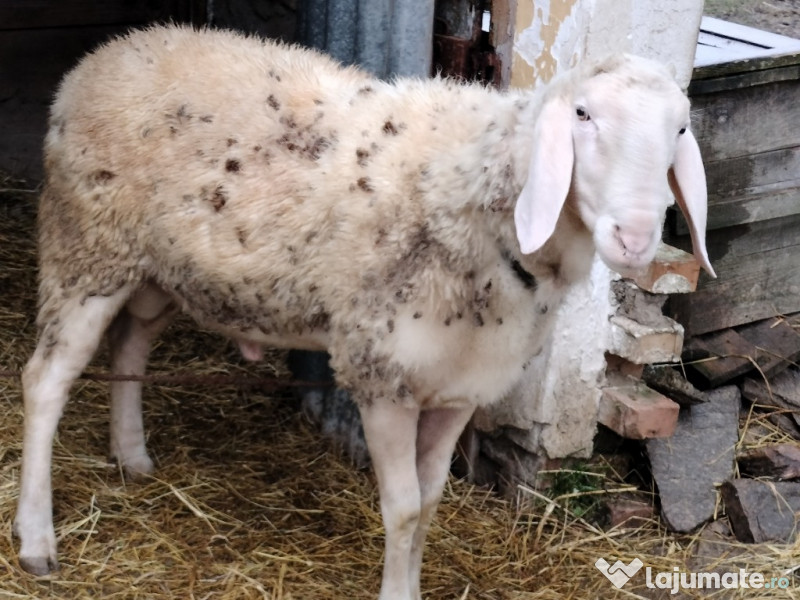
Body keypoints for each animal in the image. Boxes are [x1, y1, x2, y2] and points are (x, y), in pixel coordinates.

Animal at [14, 24, 712, 600]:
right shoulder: (383, 374)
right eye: (583, 114)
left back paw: (131, 456)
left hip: (156, 268)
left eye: (679, 130)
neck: (480, 201)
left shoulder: (459, 387)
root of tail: (105, 54)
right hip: (86, 248)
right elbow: (402, 508)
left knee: (130, 345)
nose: (635, 238)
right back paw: (36, 538)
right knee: (45, 381)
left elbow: (430, 502)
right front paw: (396, 593)